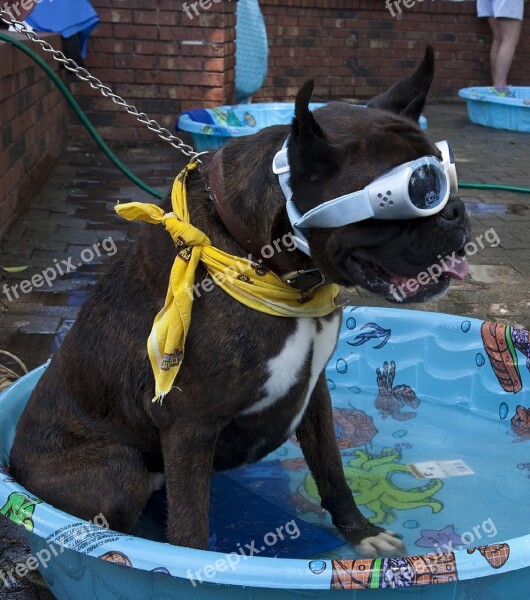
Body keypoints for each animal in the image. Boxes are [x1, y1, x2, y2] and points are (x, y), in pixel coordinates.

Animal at [10, 47, 466, 556]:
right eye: (420, 192)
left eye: (444, 176)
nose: (456, 209)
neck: (271, 264)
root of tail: (13, 467)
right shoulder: (189, 426)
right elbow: (190, 531)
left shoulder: (315, 393)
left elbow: (333, 471)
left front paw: (360, 531)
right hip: (116, 471)